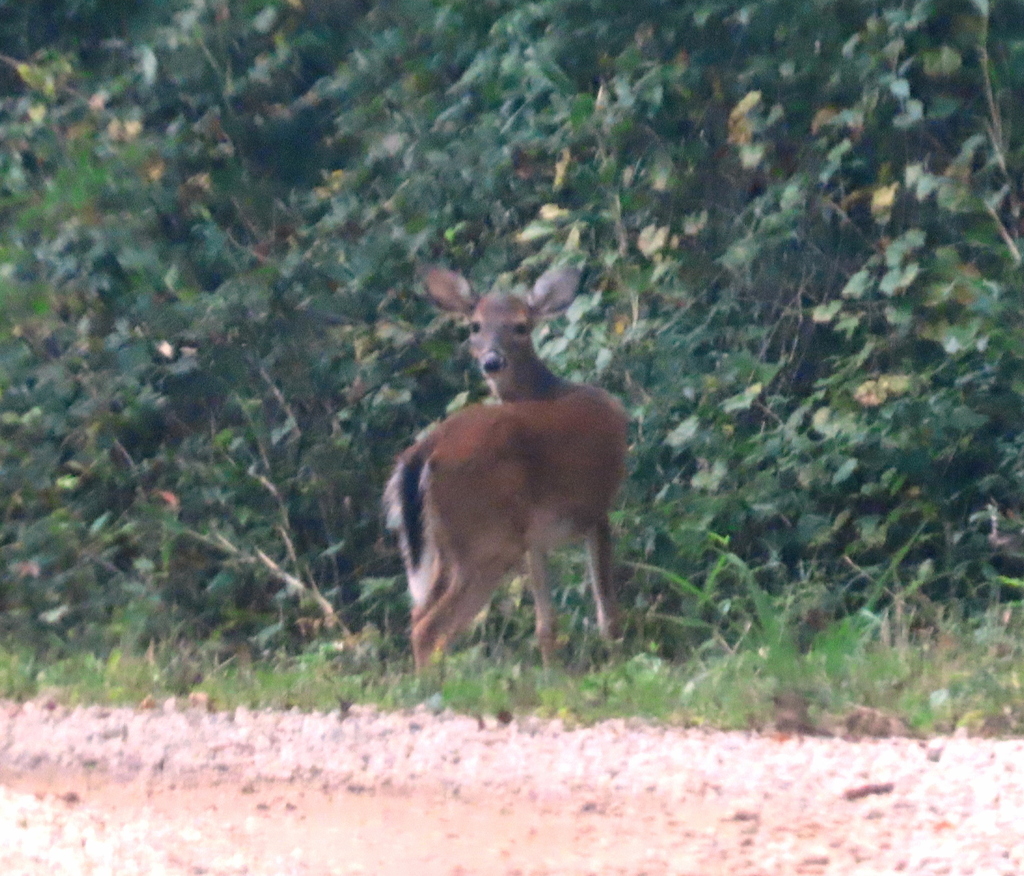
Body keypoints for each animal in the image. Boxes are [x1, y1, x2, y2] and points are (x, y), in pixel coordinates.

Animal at [384, 265, 628, 670]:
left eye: (521, 326)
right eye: (475, 326)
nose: (492, 361)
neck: (550, 390)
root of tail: (425, 450)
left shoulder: (536, 537)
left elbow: (546, 622)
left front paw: (554, 674)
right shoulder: (596, 509)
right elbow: (606, 608)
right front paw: (615, 662)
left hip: (448, 545)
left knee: (418, 615)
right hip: (488, 537)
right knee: (430, 628)